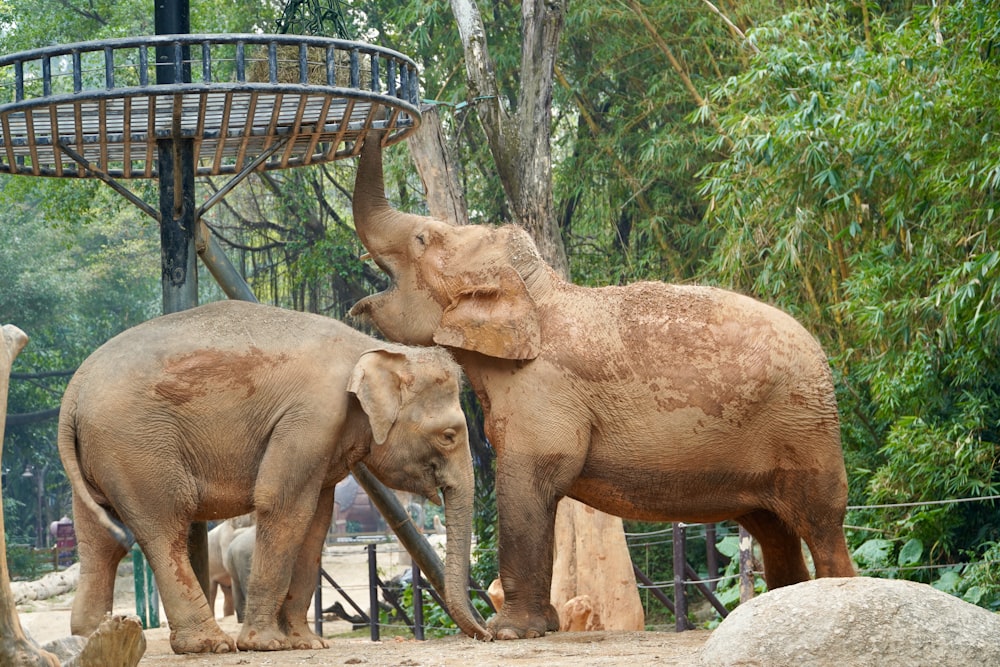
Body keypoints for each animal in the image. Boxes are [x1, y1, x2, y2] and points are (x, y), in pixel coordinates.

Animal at [58, 300, 488, 656]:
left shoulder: (325, 439)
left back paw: (90, 639)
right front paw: (266, 644)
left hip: (102, 456)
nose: (488, 633)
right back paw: (209, 644)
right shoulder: (312, 417)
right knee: (165, 529)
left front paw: (308, 644)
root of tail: (73, 391)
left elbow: (316, 522)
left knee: (100, 541)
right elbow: (282, 507)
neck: (371, 348)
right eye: (449, 435)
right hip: (137, 448)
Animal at [348, 133, 856, 640]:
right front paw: (541, 627)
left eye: (421, 239)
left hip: (806, 428)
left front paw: (511, 631)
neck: (536, 292)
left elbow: (529, 479)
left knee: (821, 523)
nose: (373, 133)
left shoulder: (544, 389)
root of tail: (822, 352)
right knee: (772, 528)